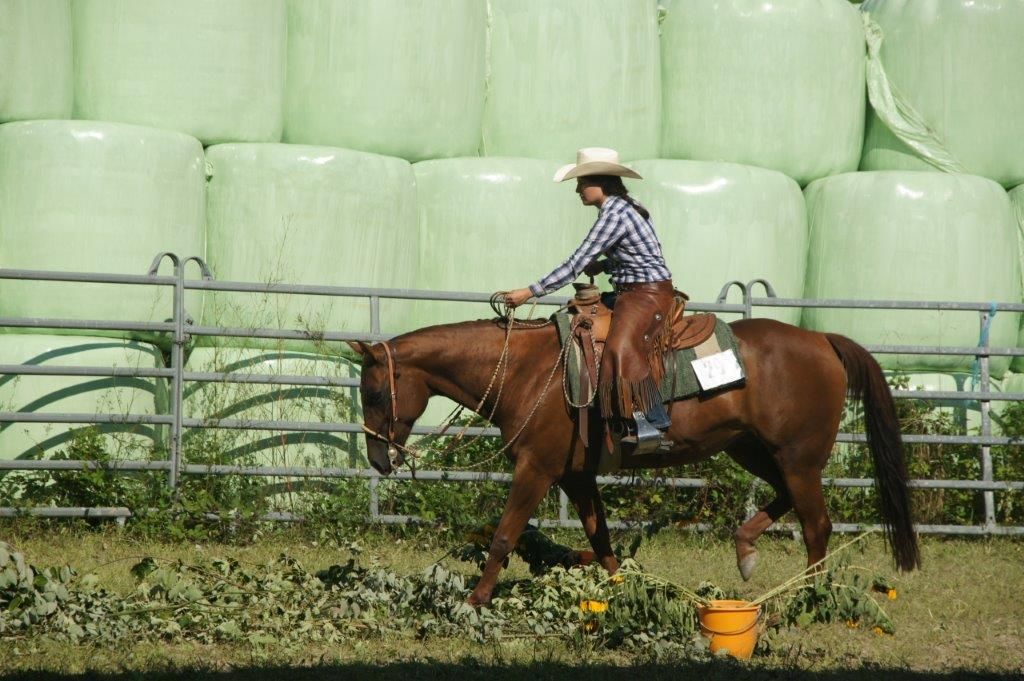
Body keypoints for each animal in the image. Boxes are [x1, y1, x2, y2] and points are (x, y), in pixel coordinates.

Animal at [348, 314, 920, 606]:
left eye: (374, 393)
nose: (379, 458)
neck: (528, 370)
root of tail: (823, 339)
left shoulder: (536, 469)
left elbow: (505, 535)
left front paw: (474, 602)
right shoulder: (577, 477)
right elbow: (601, 541)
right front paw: (622, 592)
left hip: (797, 458)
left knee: (816, 525)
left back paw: (806, 595)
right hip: (754, 449)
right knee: (786, 504)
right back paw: (746, 549)